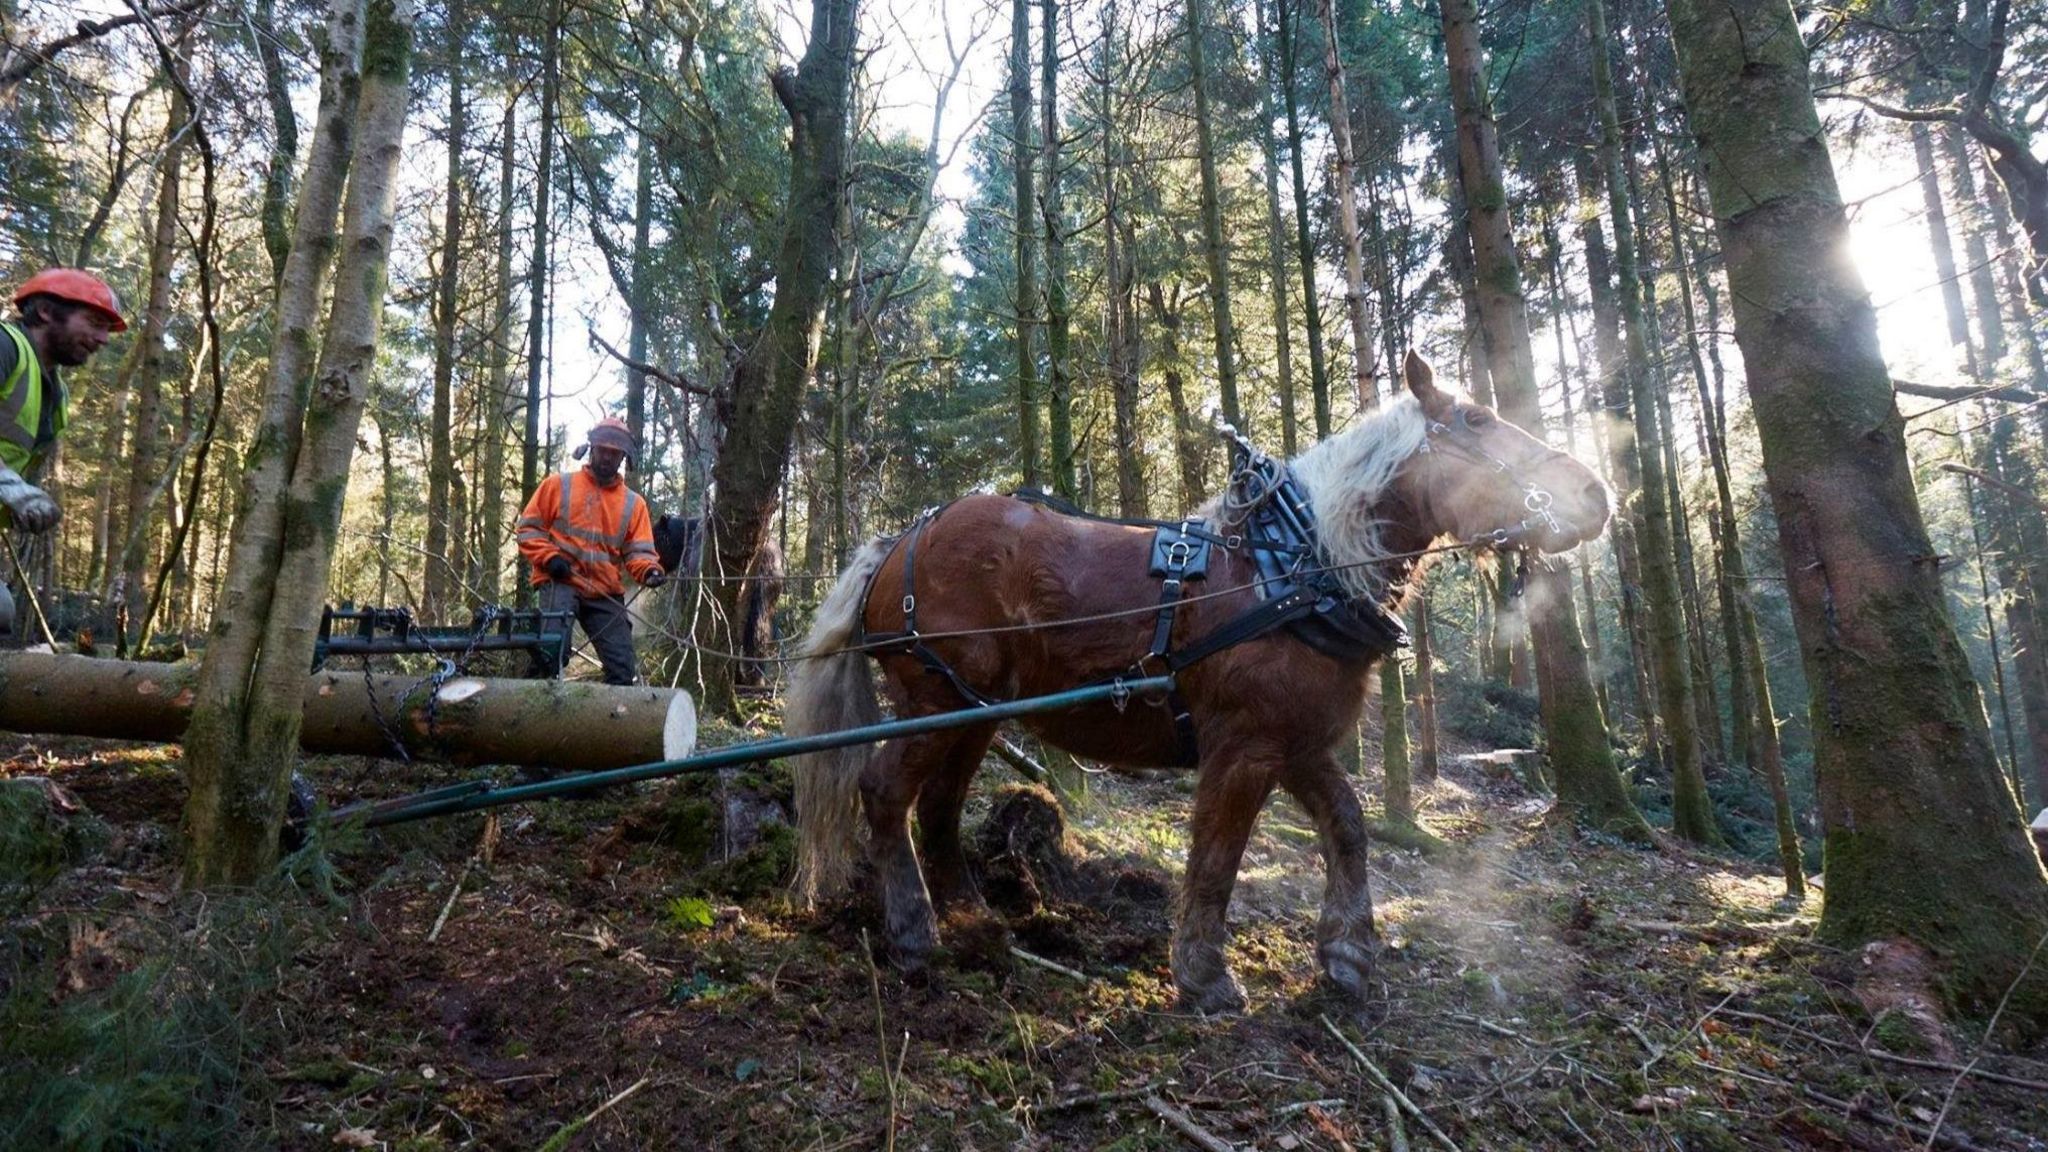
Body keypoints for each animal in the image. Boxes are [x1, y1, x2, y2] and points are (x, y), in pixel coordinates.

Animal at [790, 354, 1605, 1008]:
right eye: (1477, 419)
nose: (1594, 492)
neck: (1298, 566)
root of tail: (901, 538)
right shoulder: (1243, 746)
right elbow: (1218, 856)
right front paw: (1205, 976)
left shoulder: (1298, 743)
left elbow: (1348, 827)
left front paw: (1347, 956)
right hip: (933, 701)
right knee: (885, 792)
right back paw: (914, 931)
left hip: (974, 710)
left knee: (939, 808)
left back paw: (977, 922)